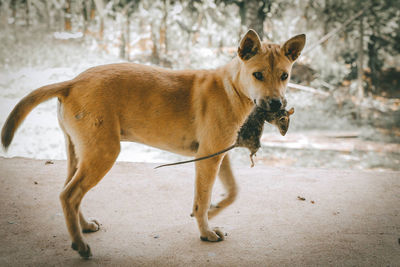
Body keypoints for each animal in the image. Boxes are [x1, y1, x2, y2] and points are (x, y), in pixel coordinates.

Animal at [0, 28, 306, 258]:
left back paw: (83, 227)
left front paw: (214, 210)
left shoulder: (220, 154)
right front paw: (205, 231)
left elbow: (232, 191)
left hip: (79, 152)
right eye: (258, 75)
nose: (277, 104)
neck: (231, 87)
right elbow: (202, 196)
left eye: (285, 76)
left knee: (69, 194)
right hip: (104, 152)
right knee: (69, 194)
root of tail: (71, 83)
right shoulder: (208, 157)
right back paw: (80, 245)